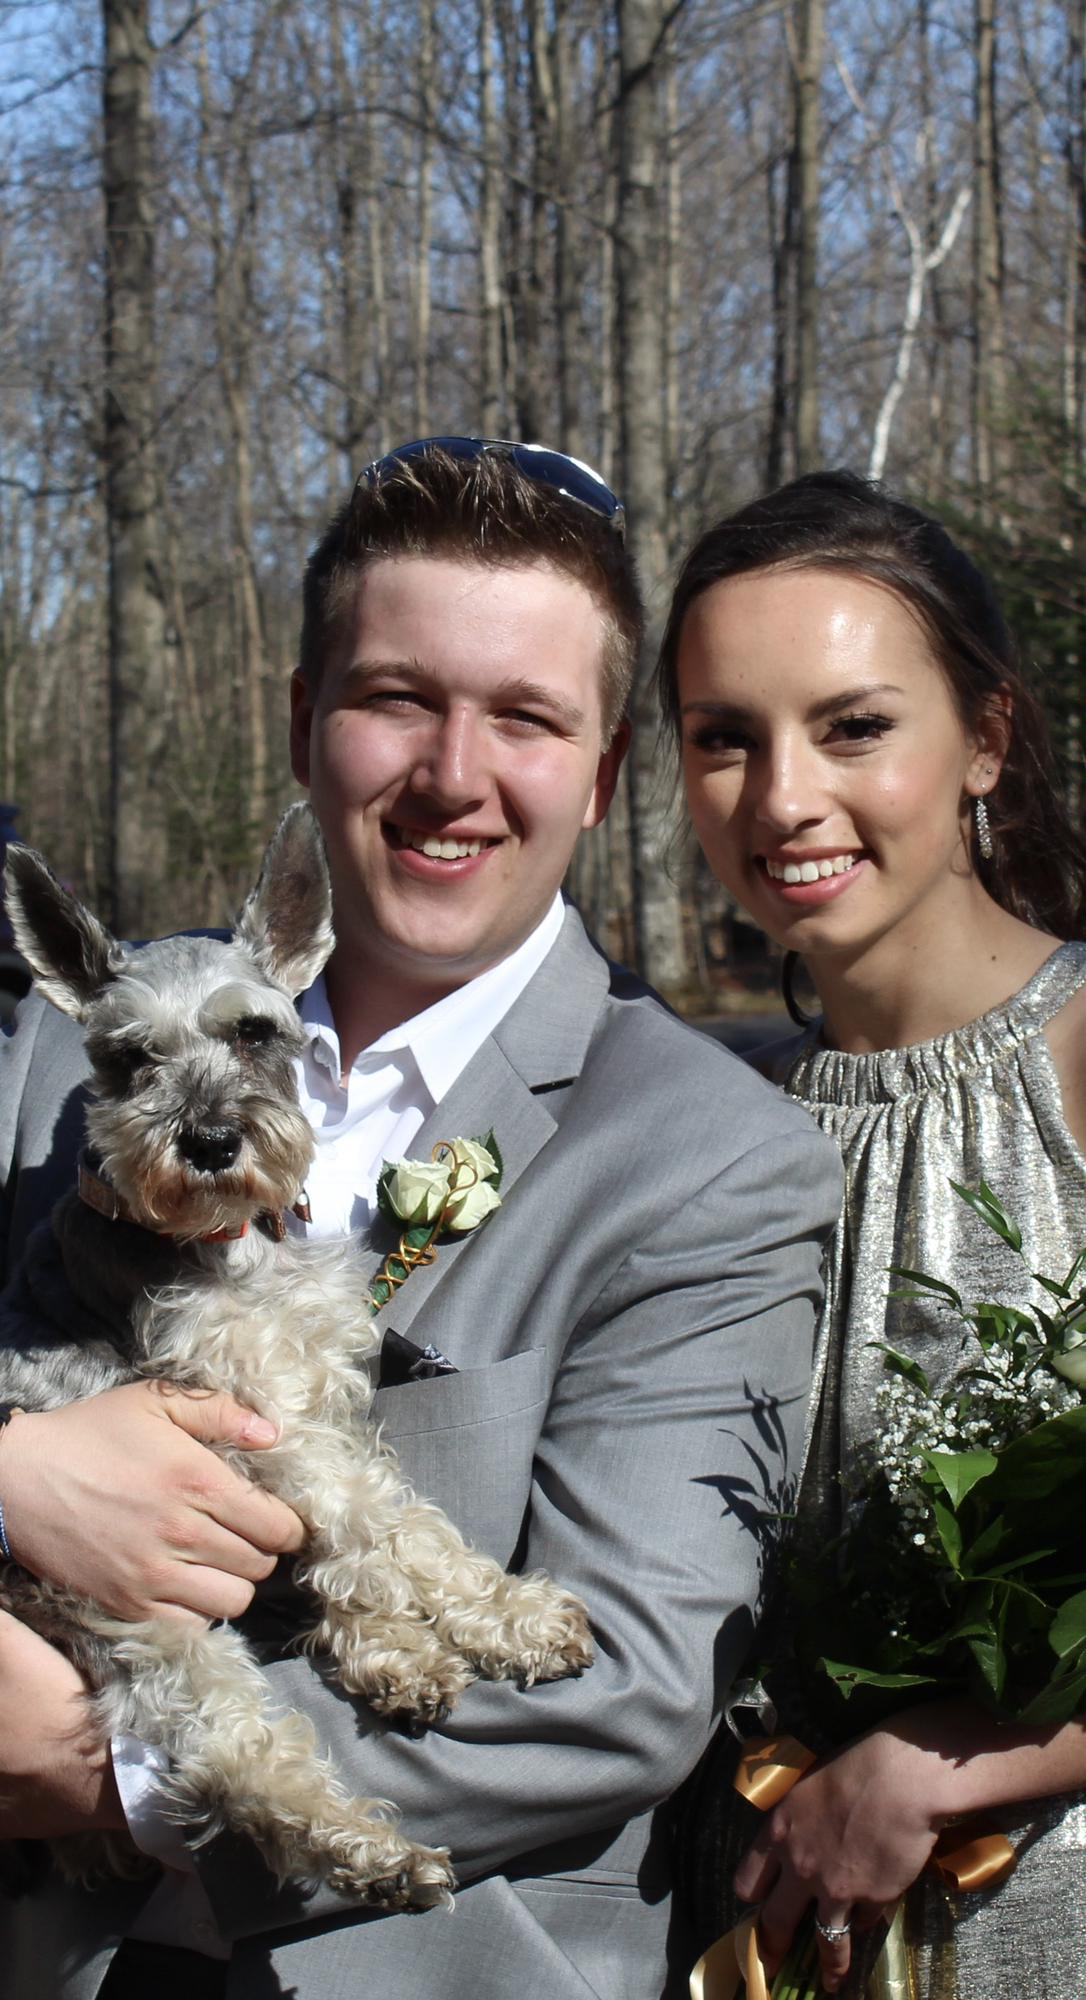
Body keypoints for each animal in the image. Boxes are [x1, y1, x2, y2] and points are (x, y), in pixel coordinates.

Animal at [0, 804, 596, 1912]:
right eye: (128, 1059)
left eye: (253, 1031)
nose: (208, 1140)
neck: (232, 1245)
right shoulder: (251, 1416)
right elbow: (374, 1521)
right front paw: (475, 1621)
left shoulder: (323, 1399)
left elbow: (401, 1527)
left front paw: (479, 1618)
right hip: (140, 1616)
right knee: (232, 1755)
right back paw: (374, 1852)